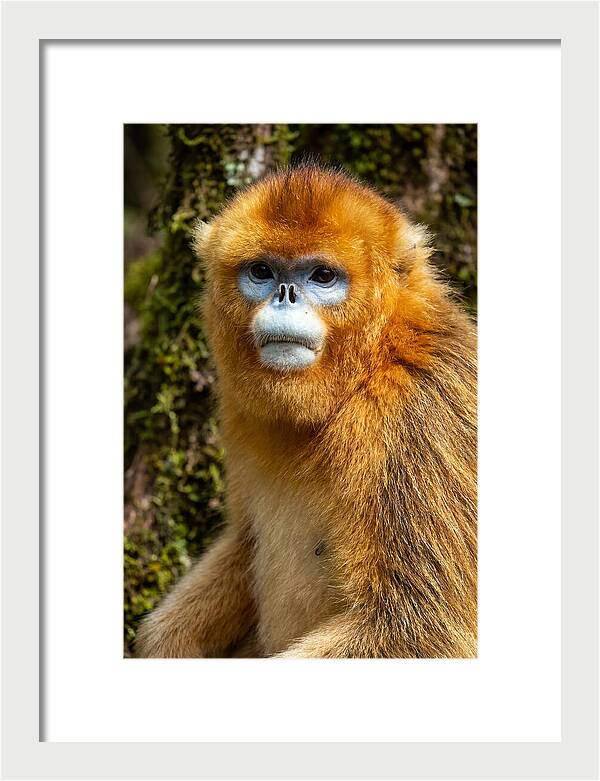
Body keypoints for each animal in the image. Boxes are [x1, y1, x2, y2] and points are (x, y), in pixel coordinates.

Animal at [135, 164, 477, 659]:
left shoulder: (424, 412)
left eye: (322, 276)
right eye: (261, 271)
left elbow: (423, 628)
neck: (369, 369)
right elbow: (243, 542)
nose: (285, 294)